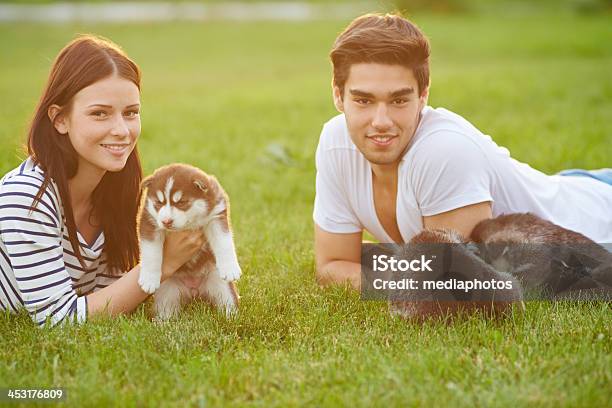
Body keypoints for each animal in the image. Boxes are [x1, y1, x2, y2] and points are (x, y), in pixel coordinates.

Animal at [137, 163, 240, 318]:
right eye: (158, 203)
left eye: (181, 202)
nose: (166, 221)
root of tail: (194, 291)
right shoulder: (149, 221)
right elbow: (151, 253)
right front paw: (149, 279)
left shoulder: (216, 215)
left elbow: (224, 243)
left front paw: (230, 268)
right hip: (167, 290)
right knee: (166, 309)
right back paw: (162, 321)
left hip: (220, 284)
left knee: (227, 302)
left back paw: (231, 318)